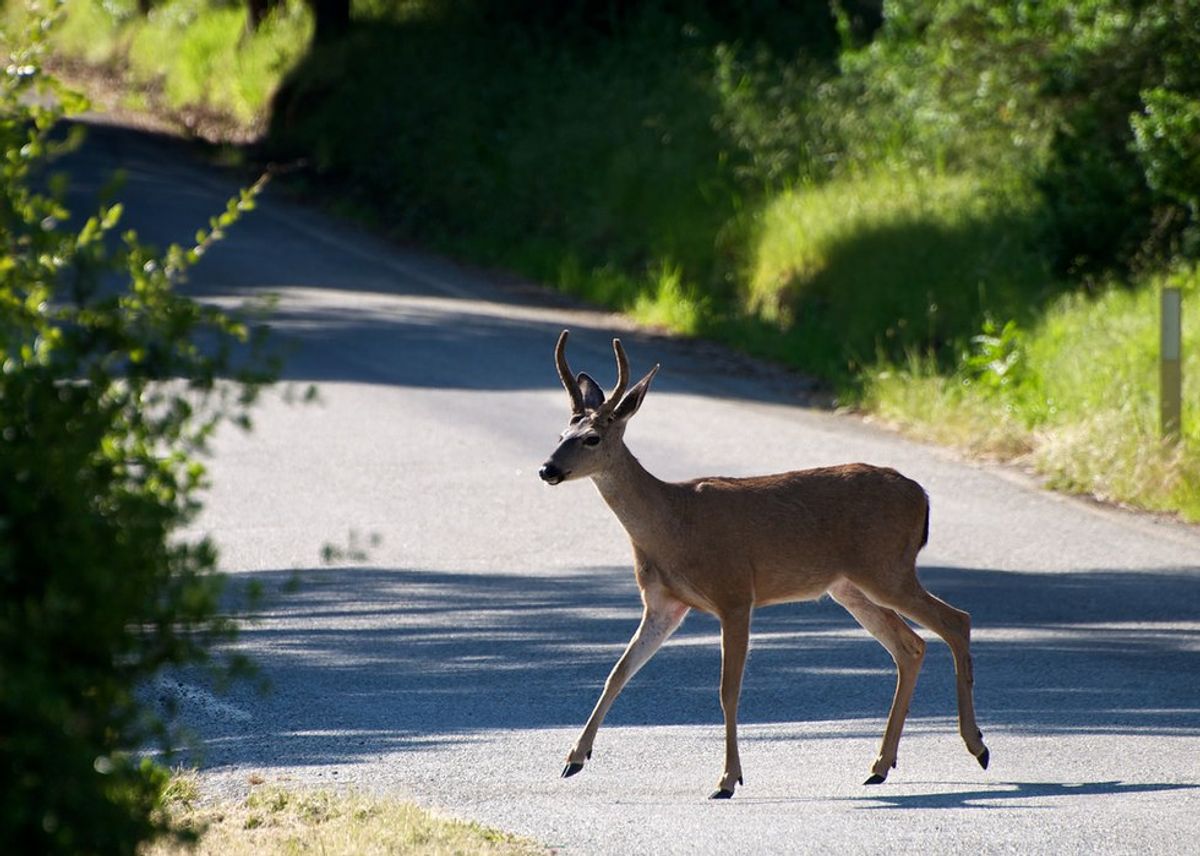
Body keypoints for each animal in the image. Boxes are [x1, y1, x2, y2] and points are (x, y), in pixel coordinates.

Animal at [540, 331, 988, 797]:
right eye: (562, 432)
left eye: (592, 438)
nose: (547, 469)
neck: (674, 523)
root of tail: (922, 495)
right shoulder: (664, 604)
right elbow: (618, 672)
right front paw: (573, 758)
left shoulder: (735, 593)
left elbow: (728, 690)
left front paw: (727, 779)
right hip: (850, 586)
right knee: (911, 645)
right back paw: (880, 765)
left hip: (887, 568)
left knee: (956, 621)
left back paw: (976, 746)